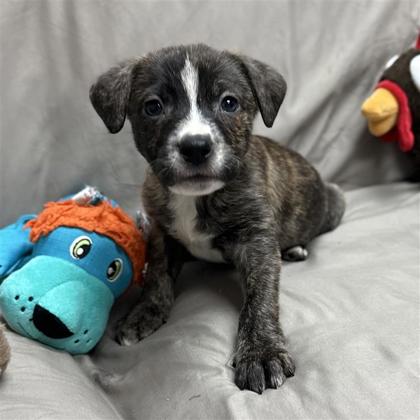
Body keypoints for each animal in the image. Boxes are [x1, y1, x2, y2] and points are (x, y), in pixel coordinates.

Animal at [90, 44, 345, 394]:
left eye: (229, 103)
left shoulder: (256, 242)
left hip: (333, 206)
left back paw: (295, 249)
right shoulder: (160, 232)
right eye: (153, 107)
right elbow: (157, 274)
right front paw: (145, 312)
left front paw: (261, 351)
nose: (195, 147)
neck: (196, 198)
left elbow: (260, 297)